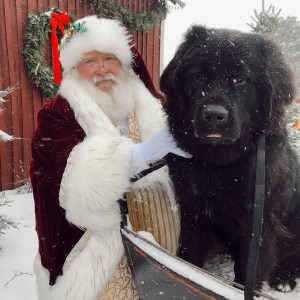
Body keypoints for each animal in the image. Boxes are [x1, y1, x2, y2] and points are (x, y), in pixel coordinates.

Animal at [161, 24, 300, 292]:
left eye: (240, 79)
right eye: (199, 77)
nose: (214, 115)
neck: (219, 165)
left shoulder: (259, 224)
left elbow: (247, 272)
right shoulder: (193, 211)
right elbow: (190, 253)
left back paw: (284, 279)